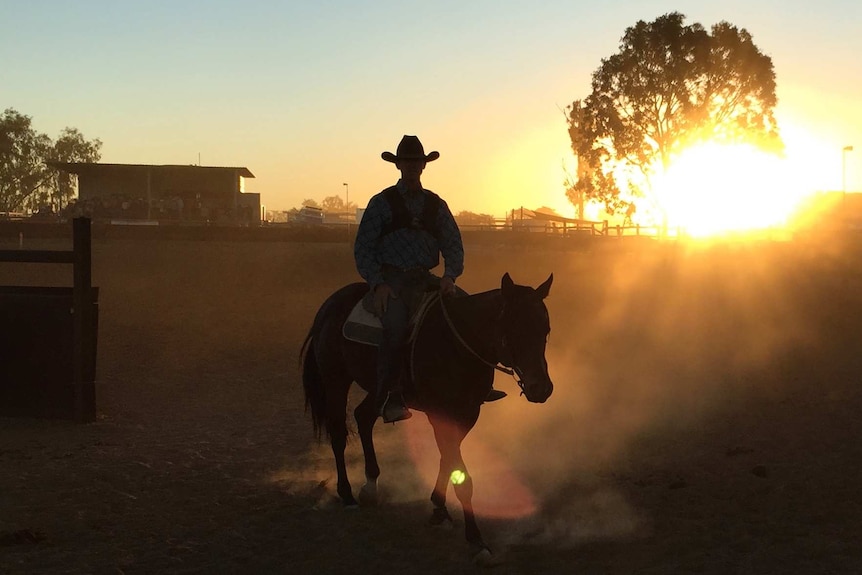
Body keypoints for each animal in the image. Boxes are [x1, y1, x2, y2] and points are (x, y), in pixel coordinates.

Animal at [300, 272, 556, 560]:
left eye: (545, 330)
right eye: (513, 328)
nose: (541, 388)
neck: (458, 345)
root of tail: (329, 305)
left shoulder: (467, 414)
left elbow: (448, 460)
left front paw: (439, 509)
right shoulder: (439, 414)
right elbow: (461, 475)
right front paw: (476, 540)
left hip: (379, 388)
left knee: (363, 417)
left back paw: (370, 486)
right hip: (335, 380)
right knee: (338, 434)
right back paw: (347, 495)